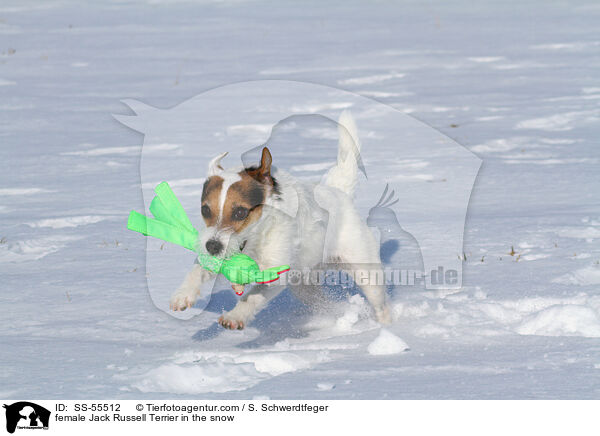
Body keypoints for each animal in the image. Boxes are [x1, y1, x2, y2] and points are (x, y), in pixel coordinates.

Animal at [170, 110, 394, 328]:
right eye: (205, 210)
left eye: (240, 212)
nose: (212, 246)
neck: (256, 239)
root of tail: (339, 192)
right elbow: (198, 270)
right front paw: (183, 294)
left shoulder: (275, 274)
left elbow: (252, 297)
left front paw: (235, 316)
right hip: (304, 286)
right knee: (324, 302)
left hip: (366, 271)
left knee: (380, 304)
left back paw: (386, 326)